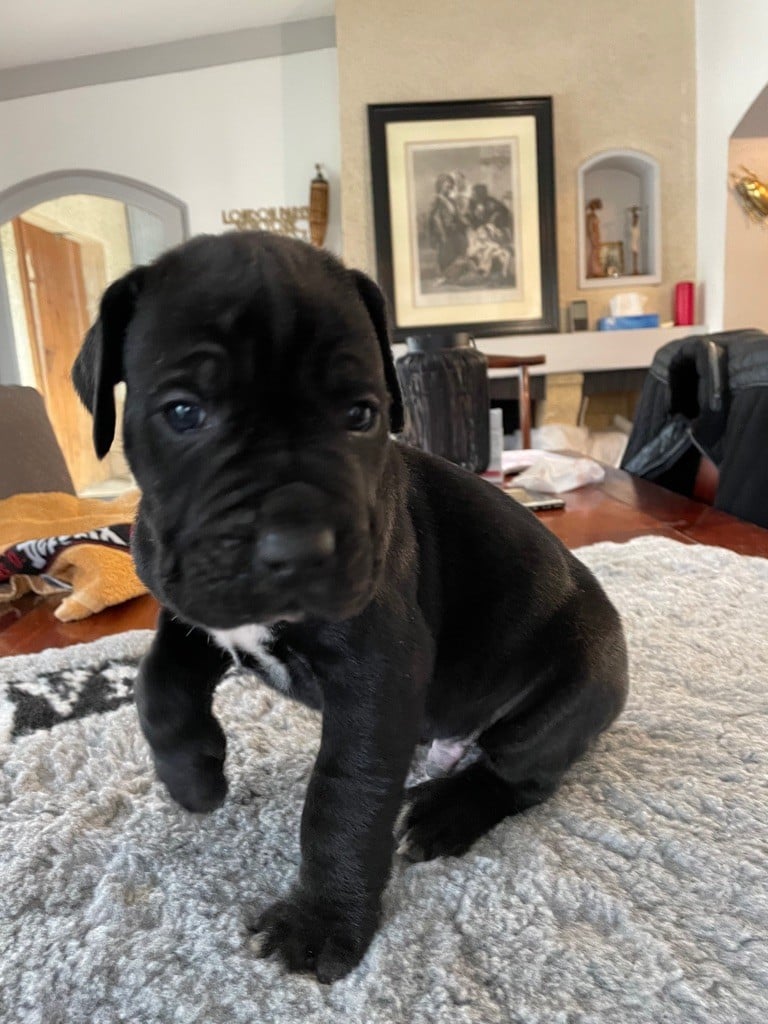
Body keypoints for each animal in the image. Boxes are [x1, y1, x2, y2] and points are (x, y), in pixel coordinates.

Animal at [72, 231, 628, 983]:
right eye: (184, 412)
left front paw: (322, 923)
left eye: (360, 415)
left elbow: (345, 795)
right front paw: (193, 778)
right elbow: (154, 683)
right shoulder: (195, 607)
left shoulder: (377, 671)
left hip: (562, 697)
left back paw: (442, 815)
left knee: (521, 776)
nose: (297, 547)